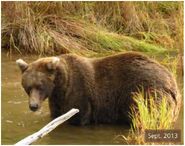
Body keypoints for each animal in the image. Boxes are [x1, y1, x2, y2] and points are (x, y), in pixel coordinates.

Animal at [16, 52, 181, 125]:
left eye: (39, 86)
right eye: (28, 87)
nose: (33, 106)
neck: (60, 86)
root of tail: (172, 81)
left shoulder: (79, 92)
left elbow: (79, 116)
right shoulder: (57, 98)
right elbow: (56, 114)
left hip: (147, 91)